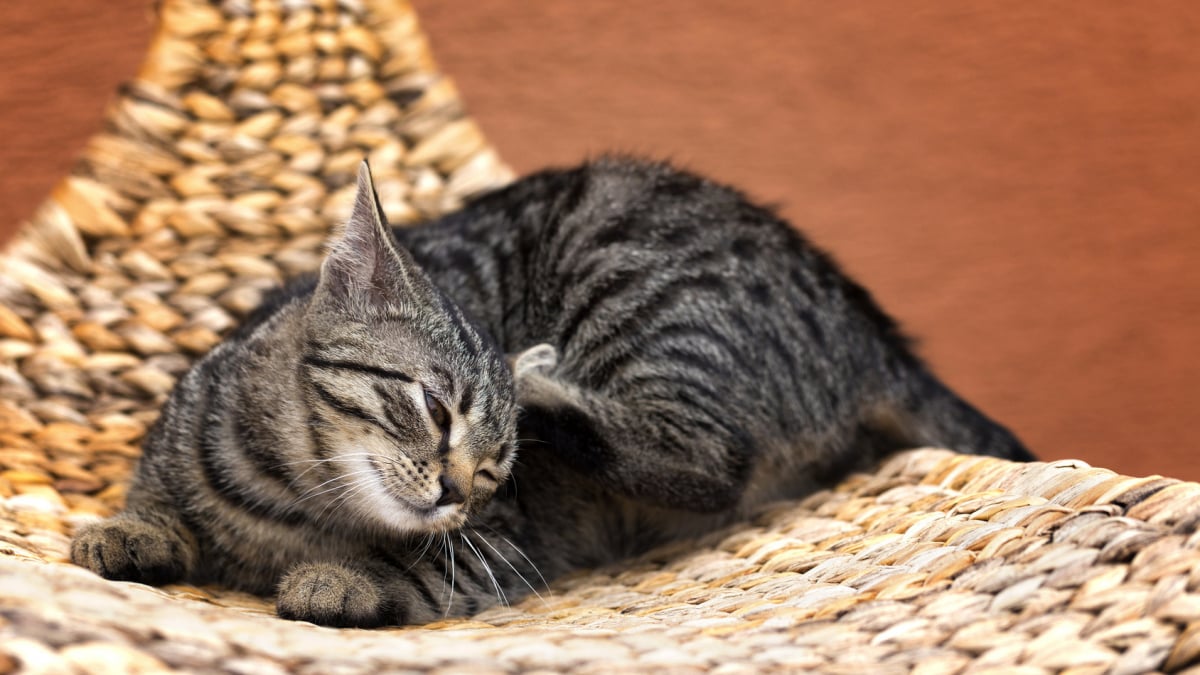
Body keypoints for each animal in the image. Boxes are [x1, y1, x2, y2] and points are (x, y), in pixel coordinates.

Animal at [72, 157, 1032, 624]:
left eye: (497, 469)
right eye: (434, 408)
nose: (457, 490)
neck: (293, 503)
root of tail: (866, 319)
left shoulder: (509, 539)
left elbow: (425, 568)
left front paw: (344, 579)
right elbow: (153, 497)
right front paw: (131, 530)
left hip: (635, 294)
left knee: (713, 461)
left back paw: (545, 377)